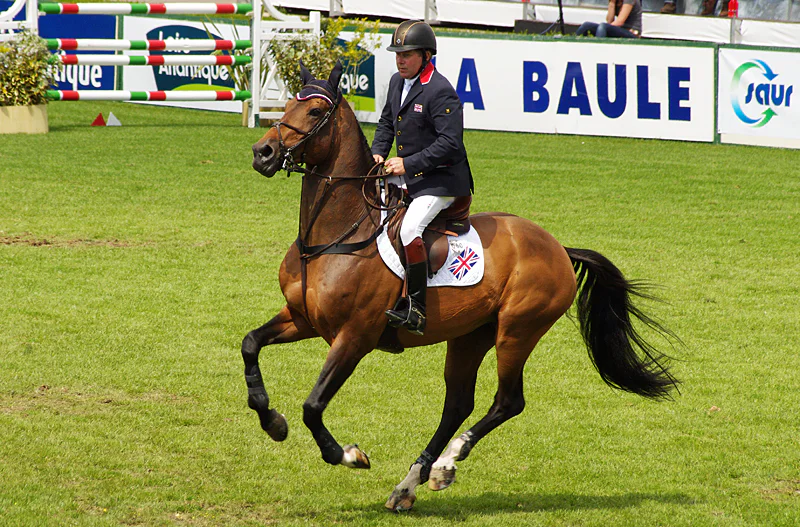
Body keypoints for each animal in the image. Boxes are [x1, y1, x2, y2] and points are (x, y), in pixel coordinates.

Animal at [244, 62, 678, 512]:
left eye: (315, 112)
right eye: (288, 103)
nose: (263, 153)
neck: (336, 234)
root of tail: (558, 246)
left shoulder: (355, 336)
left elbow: (313, 406)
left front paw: (348, 455)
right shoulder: (303, 319)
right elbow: (250, 344)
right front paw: (273, 421)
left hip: (517, 331)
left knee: (507, 401)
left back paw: (445, 465)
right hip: (471, 335)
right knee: (457, 404)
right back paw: (409, 484)